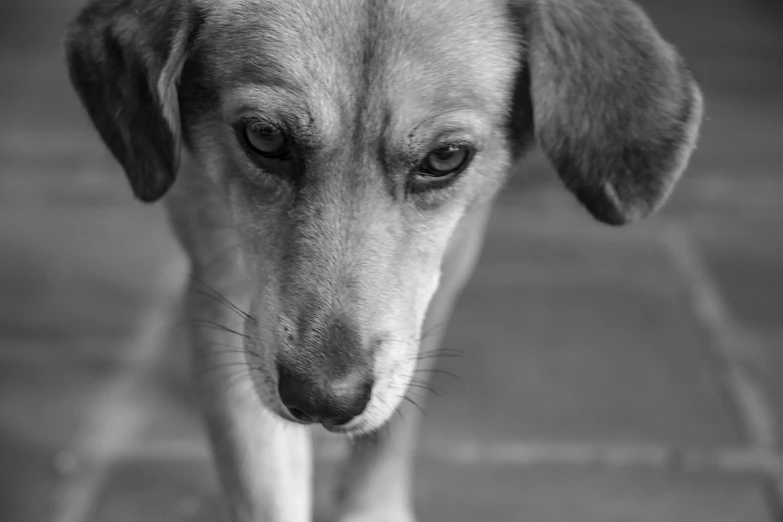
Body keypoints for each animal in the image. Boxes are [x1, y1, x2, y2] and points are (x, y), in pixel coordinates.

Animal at [66, 1, 704, 516]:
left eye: (445, 157)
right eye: (264, 138)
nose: (321, 401)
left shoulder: (439, 285)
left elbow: (390, 430)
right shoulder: (227, 289)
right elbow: (265, 480)